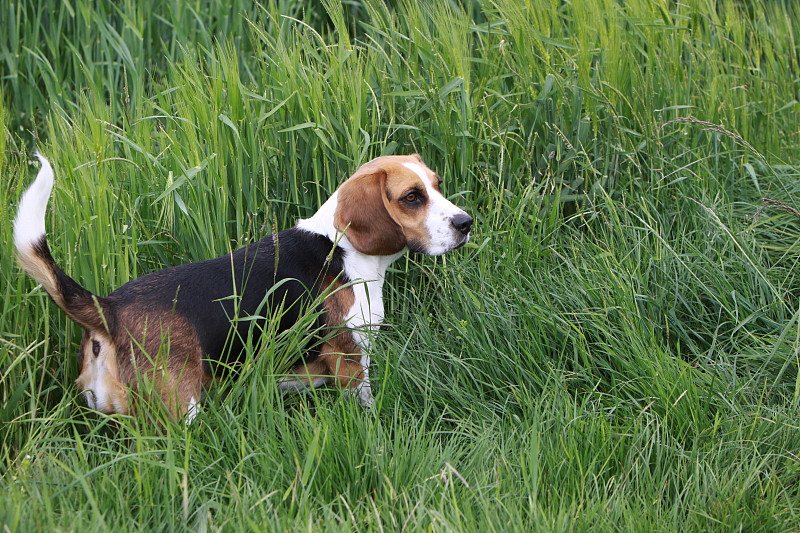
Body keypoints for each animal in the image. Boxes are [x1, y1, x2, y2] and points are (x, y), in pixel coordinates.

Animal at [15, 153, 472, 420]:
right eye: (411, 197)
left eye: (437, 184)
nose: (466, 223)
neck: (340, 247)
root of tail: (108, 307)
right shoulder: (350, 360)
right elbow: (365, 402)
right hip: (181, 406)